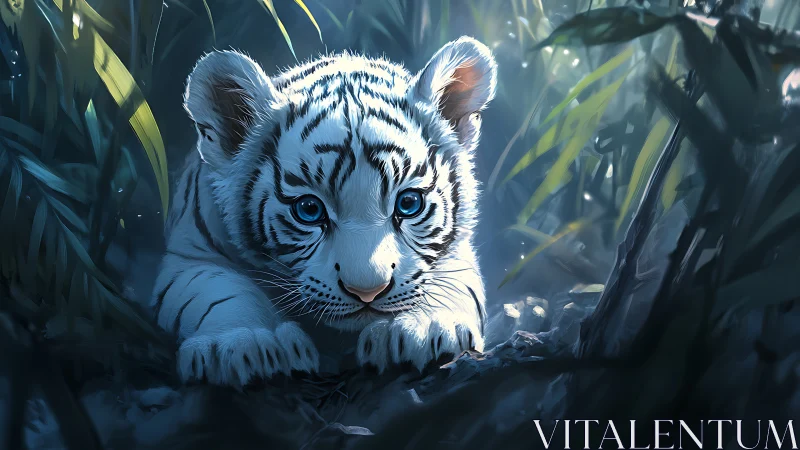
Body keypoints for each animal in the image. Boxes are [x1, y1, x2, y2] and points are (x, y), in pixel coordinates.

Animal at [151, 36, 497, 387]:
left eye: (408, 203)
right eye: (309, 209)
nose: (367, 292)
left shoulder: (457, 251)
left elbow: (449, 283)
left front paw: (422, 331)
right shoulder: (189, 257)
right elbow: (220, 292)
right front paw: (247, 344)